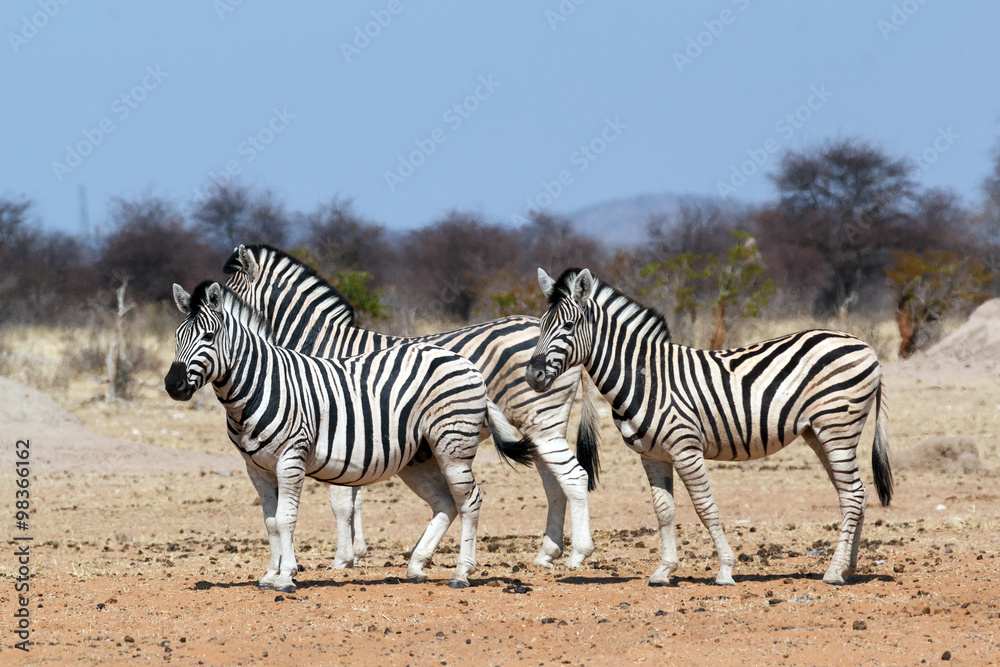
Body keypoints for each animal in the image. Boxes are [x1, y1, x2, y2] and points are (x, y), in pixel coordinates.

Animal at [164, 280, 536, 592]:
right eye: (178, 336)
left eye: (209, 336)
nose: (173, 384)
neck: (260, 383)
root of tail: (465, 363)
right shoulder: (256, 468)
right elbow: (270, 522)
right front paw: (271, 574)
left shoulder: (291, 458)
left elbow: (285, 518)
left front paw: (284, 578)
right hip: (419, 456)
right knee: (444, 502)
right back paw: (416, 565)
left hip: (452, 444)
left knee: (469, 500)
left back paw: (461, 573)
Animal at [222, 244, 601, 569]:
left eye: (225, 294)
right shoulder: (356, 433)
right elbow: (352, 495)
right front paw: (356, 551)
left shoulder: (342, 427)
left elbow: (341, 501)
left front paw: (342, 558)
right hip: (539, 426)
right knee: (555, 483)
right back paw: (547, 552)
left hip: (540, 421)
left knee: (572, 477)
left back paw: (577, 553)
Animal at [525, 267, 893, 586]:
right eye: (541, 326)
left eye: (569, 325)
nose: (532, 375)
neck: (645, 377)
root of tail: (865, 345)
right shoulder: (652, 455)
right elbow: (663, 511)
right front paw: (664, 570)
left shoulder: (685, 448)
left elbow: (705, 507)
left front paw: (725, 569)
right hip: (818, 433)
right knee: (853, 493)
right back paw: (848, 568)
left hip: (837, 428)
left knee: (853, 494)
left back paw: (834, 571)